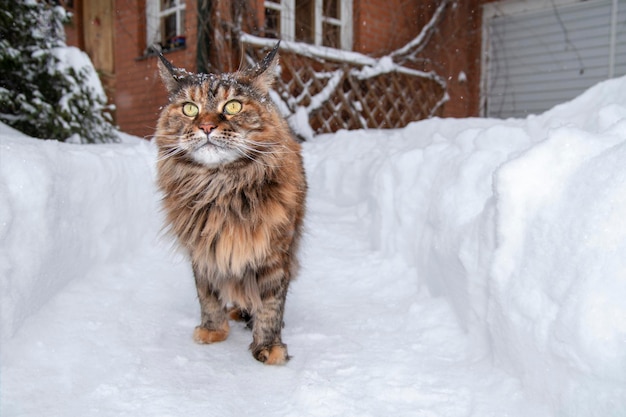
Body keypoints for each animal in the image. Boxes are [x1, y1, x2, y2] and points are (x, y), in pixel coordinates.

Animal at [154, 43, 304, 364]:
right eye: (190, 108)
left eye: (233, 106)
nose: (207, 126)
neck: (221, 187)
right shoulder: (203, 251)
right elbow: (207, 295)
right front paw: (213, 330)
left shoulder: (273, 252)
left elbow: (271, 304)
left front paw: (268, 346)